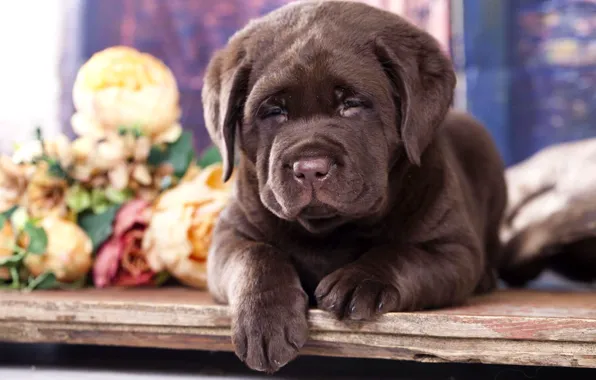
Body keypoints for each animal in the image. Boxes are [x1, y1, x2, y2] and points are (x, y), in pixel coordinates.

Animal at [203, 0, 506, 374]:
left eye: (352, 105)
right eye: (273, 111)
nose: (310, 168)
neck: (329, 229)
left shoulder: (452, 249)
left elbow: (400, 253)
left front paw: (359, 281)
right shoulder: (229, 235)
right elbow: (256, 256)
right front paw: (265, 322)